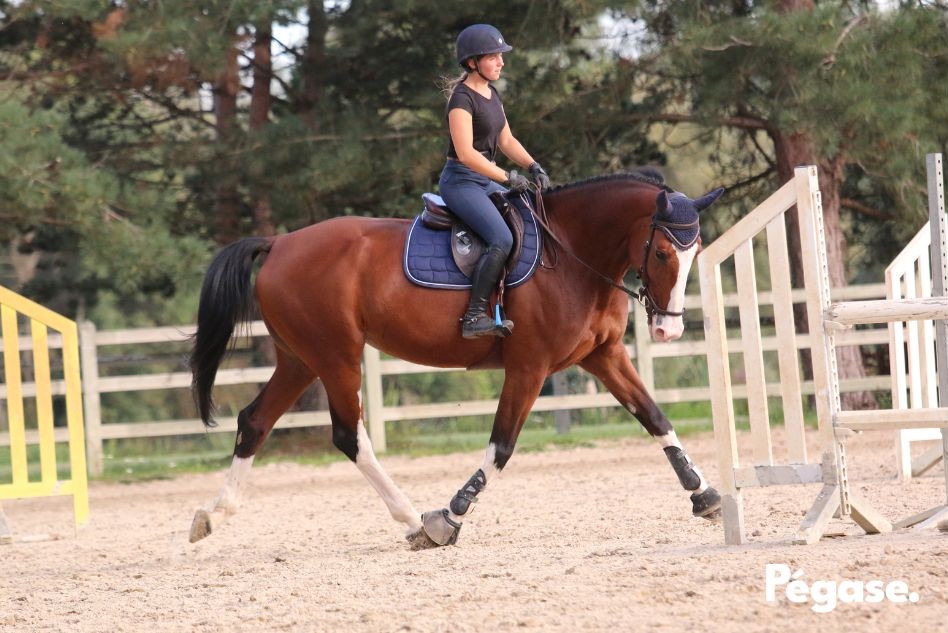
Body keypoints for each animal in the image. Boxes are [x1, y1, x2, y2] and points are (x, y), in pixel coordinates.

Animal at [187, 170, 725, 548]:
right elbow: (502, 446)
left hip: (300, 359)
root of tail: (280, 242)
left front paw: (703, 494)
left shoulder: (604, 355)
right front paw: (448, 517)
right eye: (662, 253)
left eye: (695, 250)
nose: (669, 329)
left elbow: (655, 417)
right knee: (347, 436)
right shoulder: (528, 367)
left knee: (255, 421)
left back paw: (212, 514)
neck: (573, 253)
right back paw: (412, 520)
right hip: (336, 356)